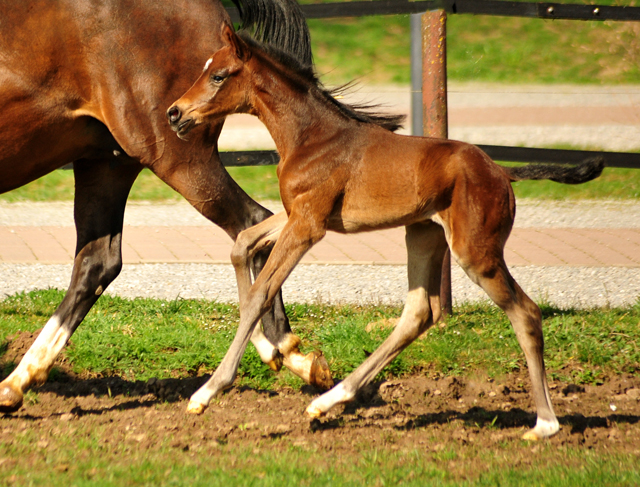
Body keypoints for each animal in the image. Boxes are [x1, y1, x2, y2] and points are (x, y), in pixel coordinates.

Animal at [0, 0, 330, 414]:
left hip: (177, 157)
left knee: (251, 223)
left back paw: (281, 349)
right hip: (107, 161)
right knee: (96, 263)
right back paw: (17, 381)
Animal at [168, 23, 604, 442]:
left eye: (218, 75)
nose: (174, 113)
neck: (312, 137)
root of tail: (501, 172)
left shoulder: (308, 225)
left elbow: (260, 293)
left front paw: (208, 392)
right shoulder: (297, 215)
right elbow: (242, 246)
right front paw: (273, 353)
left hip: (474, 252)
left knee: (524, 311)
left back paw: (545, 424)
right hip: (424, 235)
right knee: (419, 313)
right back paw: (328, 400)